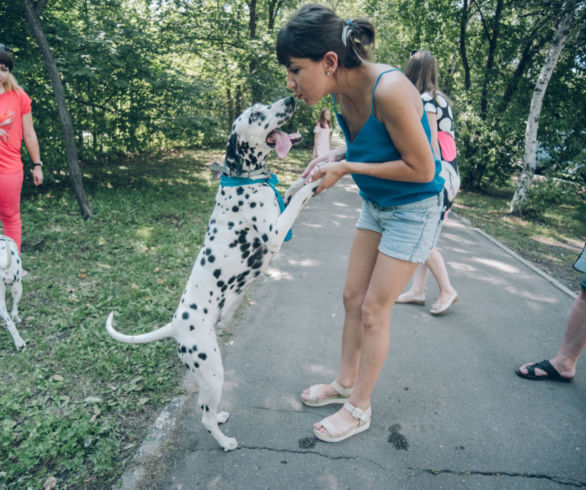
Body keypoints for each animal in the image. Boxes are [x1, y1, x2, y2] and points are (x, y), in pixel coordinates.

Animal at [107, 95, 322, 452]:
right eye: (256, 114)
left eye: (263, 104)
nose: (290, 99)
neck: (247, 179)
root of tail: (175, 326)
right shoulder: (276, 232)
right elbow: (298, 199)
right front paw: (317, 179)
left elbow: (293, 188)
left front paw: (312, 173)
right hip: (212, 369)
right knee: (205, 417)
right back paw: (225, 441)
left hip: (206, 375)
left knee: (205, 408)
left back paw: (220, 418)